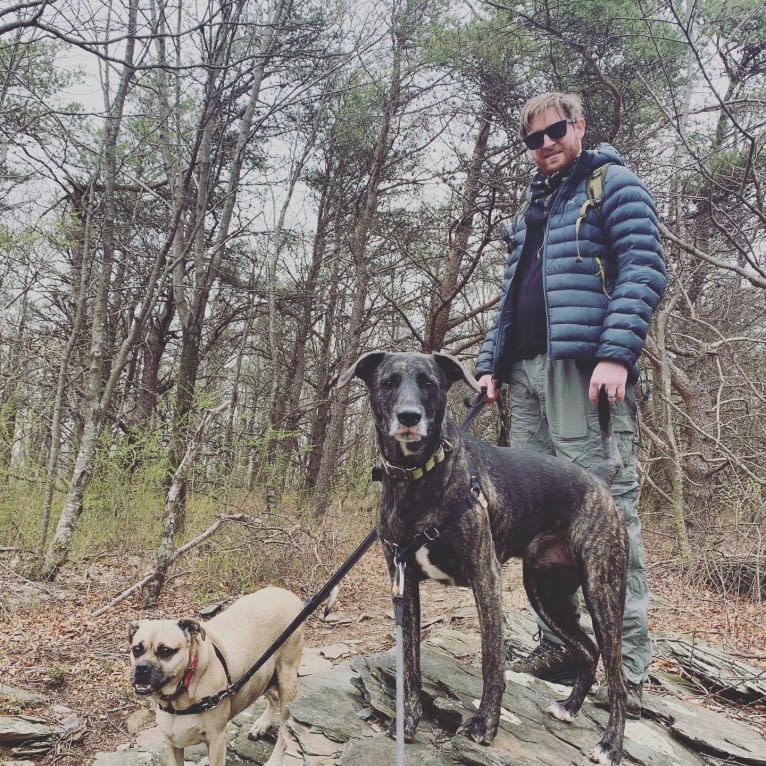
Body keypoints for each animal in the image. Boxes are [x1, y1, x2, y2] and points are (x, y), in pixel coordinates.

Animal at [128, 588, 304, 766]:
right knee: (273, 696)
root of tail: (287, 593)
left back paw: (274, 758)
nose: (142, 668)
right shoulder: (172, 745)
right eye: (136, 649)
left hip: (286, 680)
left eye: (165, 651)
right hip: (259, 674)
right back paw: (262, 724)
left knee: (284, 732)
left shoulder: (216, 741)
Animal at [340, 352, 632, 766]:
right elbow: (409, 664)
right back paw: (570, 707)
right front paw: (408, 721)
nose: (409, 417)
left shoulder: (485, 576)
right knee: (588, 651)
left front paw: (484, 724)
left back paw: (611, 745)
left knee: (618, 677)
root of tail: (598, 479)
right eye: (388, 382)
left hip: (602, 591)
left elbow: (491, 660)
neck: (418, 478)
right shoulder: (404, 583)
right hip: (546, 594)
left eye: (429, 383)